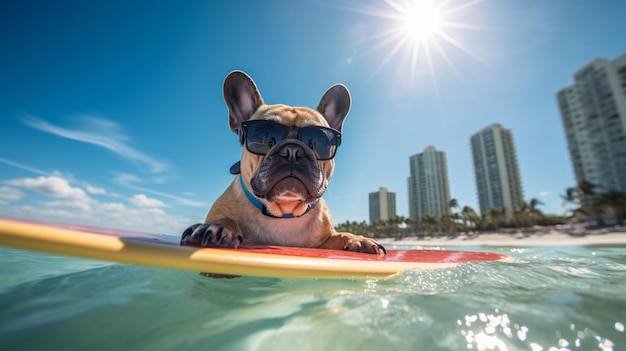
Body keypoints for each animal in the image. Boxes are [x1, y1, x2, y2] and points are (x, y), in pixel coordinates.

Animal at [179, 71, 386, 256]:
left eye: (320, 141)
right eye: (262, 136)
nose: (293, 151)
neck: (284, 211)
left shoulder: (324, 240)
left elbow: (339, 235)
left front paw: (356, 238)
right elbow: (225, 219)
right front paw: (218, 227)